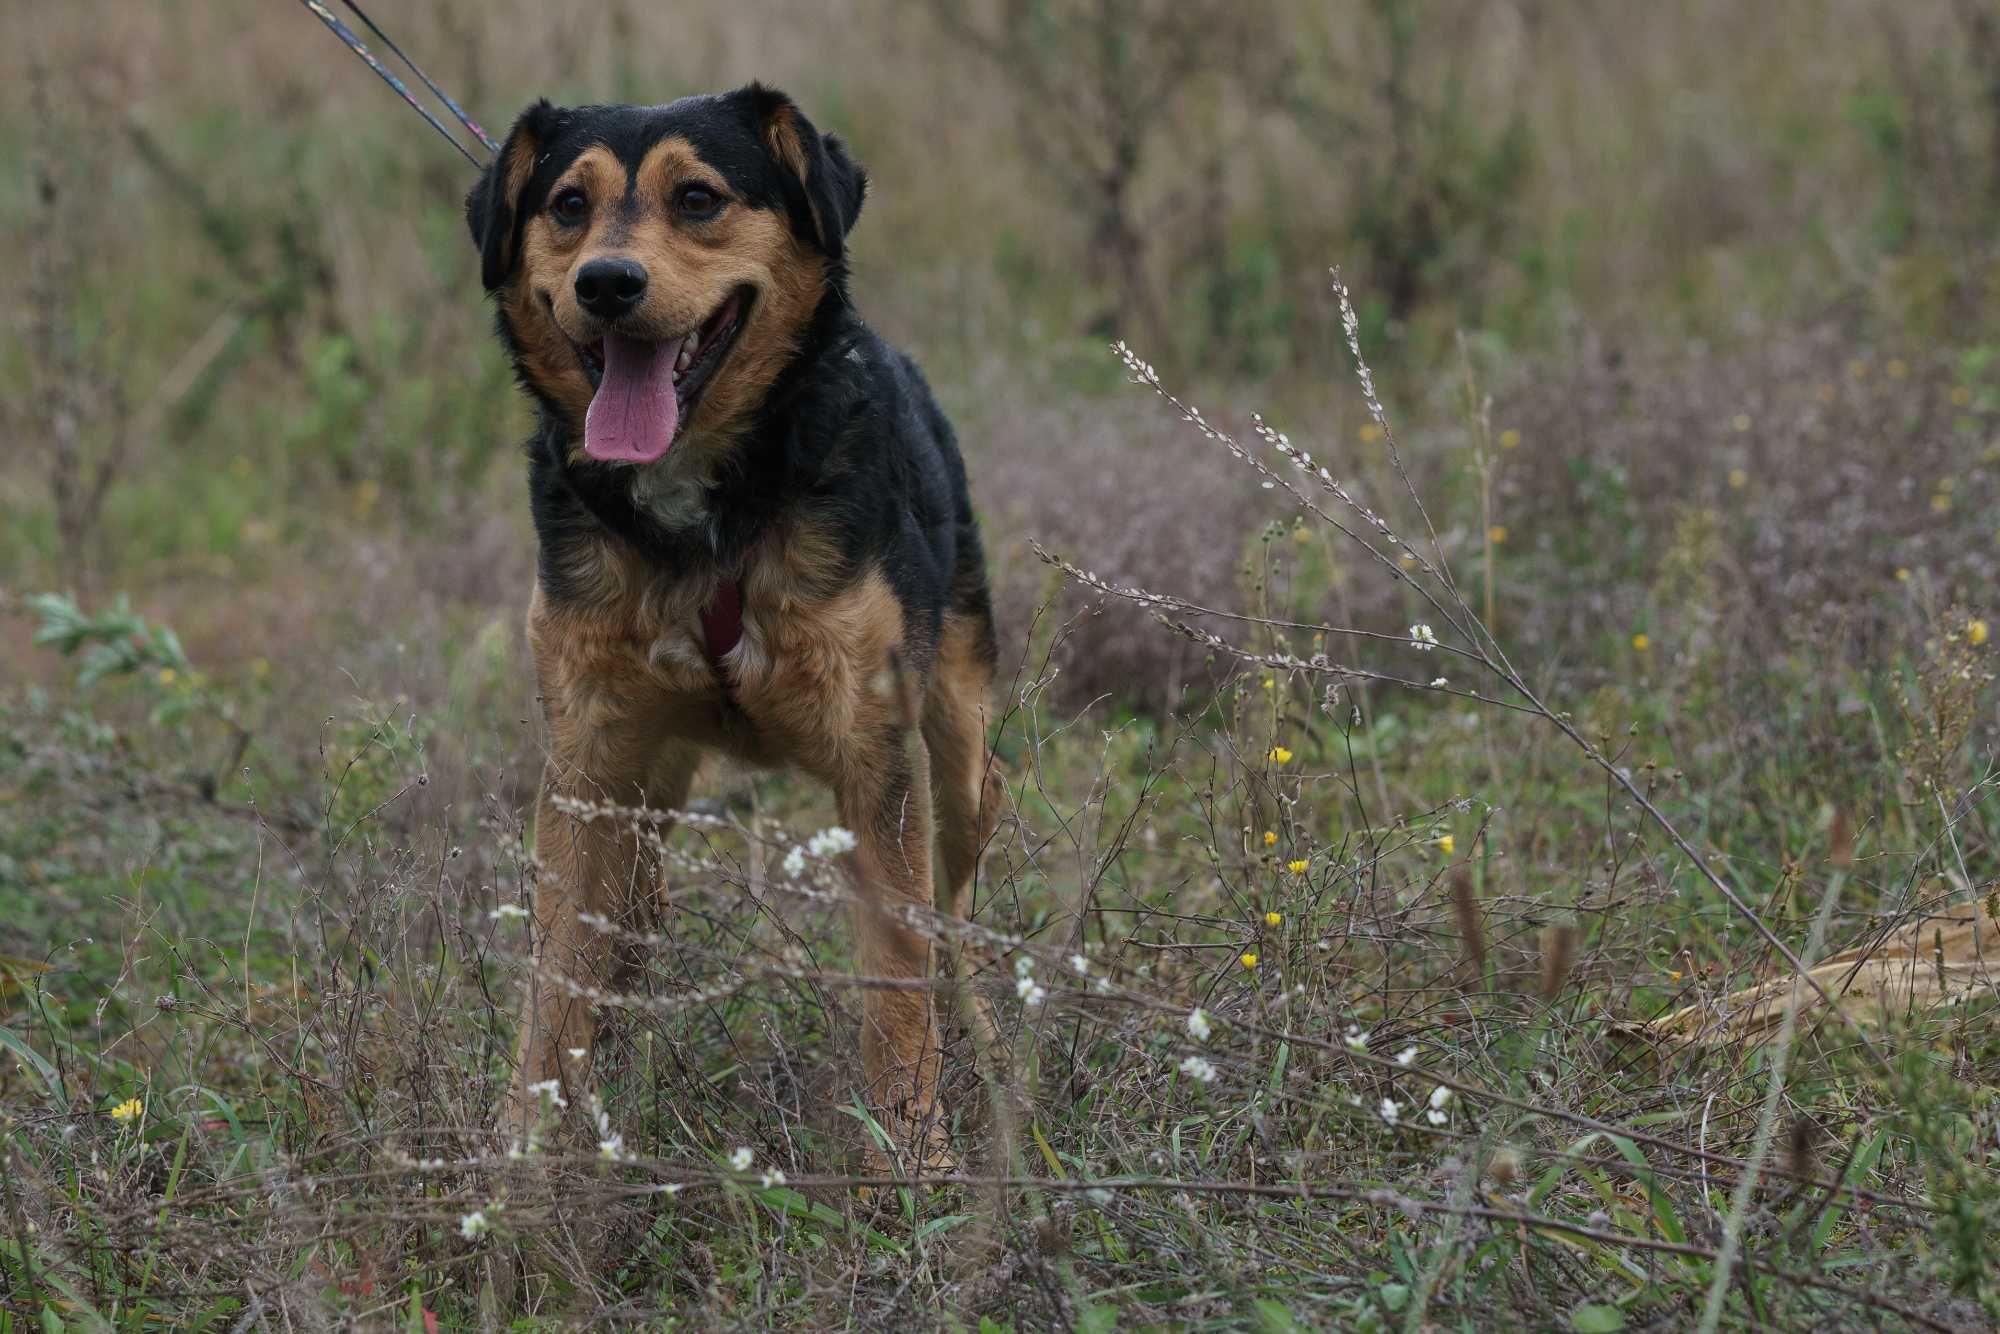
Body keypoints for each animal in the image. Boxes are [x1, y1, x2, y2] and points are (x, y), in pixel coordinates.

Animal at [464, 86, 1000, 1168]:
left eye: (699, 198)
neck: (701, 519)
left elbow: (896, 980)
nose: (607, 282)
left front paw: (913, 1155)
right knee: (636, 907)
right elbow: (555, 970)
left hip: (956, 727)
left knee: (964, 871)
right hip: (648, 774)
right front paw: (523, 1151)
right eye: (568, 205)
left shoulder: (875, 753)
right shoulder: (587, 759)